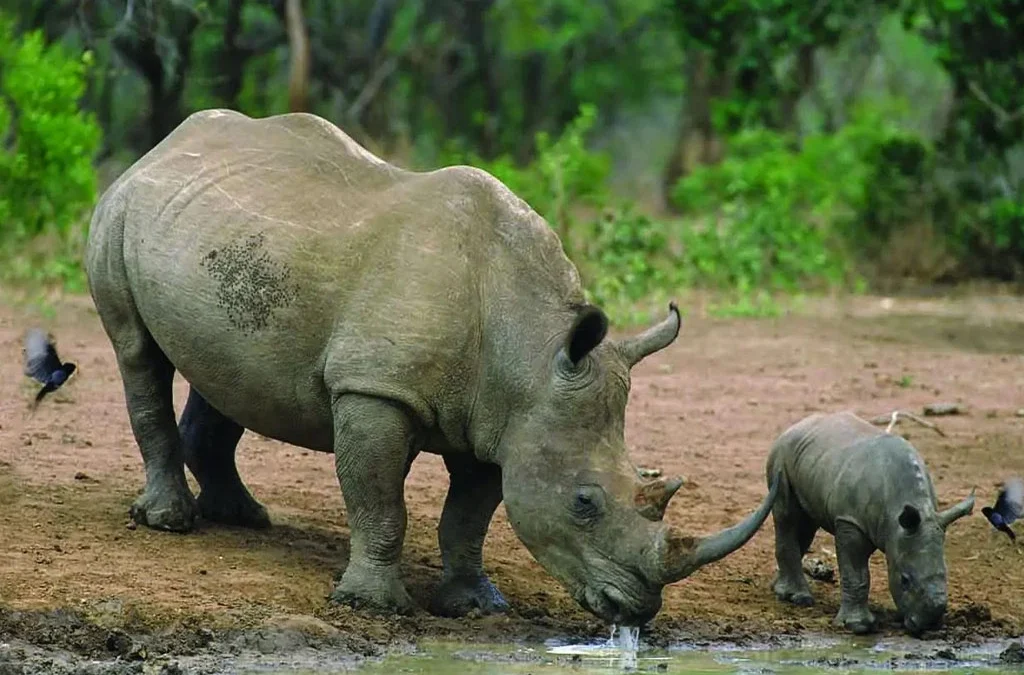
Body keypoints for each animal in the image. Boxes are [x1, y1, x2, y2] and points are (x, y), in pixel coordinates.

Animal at [84, 109, 779, 624]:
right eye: (584, 502)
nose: (635, 609)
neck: (529, 350)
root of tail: (163, 146)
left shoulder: (504, 423)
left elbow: (469, 516)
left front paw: (475, 606)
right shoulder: (374, 390)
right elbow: (380, 501)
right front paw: (373, 606)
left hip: (219, 237)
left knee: (223, 372)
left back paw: (243, 517)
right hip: (118, 213)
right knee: (137, 352)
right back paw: (171, 523)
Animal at [765, 411, 975, 635]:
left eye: (946, 574)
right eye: (905, 580)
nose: (929, 624)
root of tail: (794, 427)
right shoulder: (850, 520)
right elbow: (857, 574)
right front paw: (858, 626)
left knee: (805, 526)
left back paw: (779, 587)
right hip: (781, 457)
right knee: (787, 516)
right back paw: (799, 598)